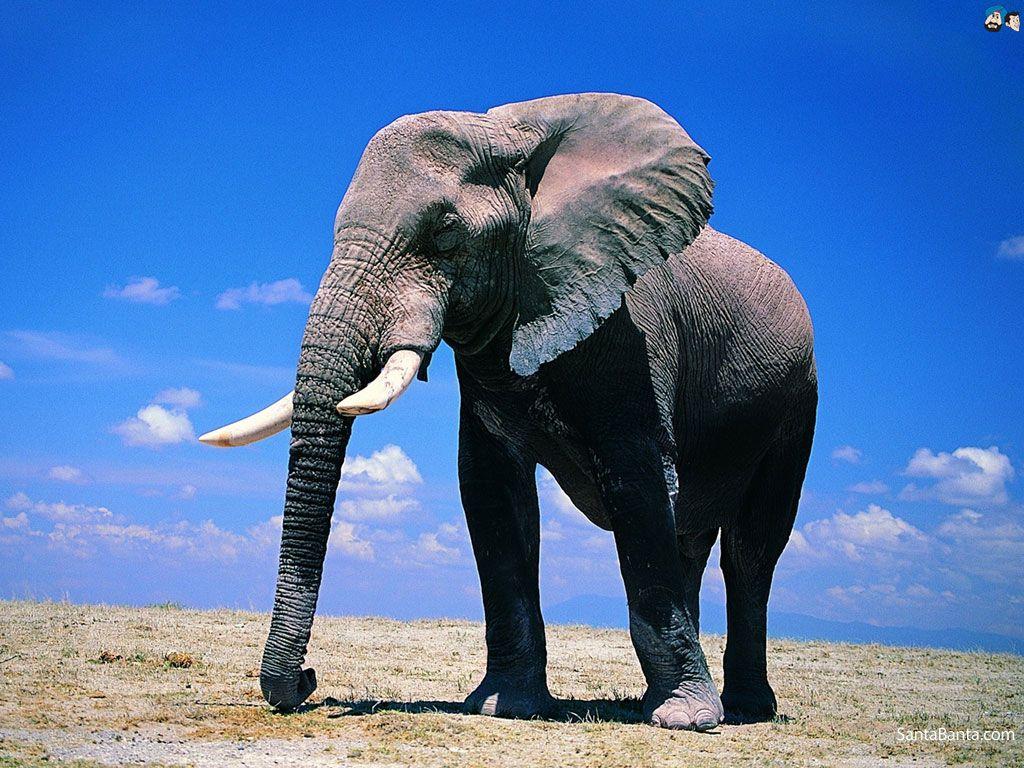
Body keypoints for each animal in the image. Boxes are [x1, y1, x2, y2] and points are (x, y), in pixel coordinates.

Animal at [200, 93, 817, 731]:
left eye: (446, 234)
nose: (306, 679)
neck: (512, 133)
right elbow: (493, 493)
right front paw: (506, 707)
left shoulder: (635, 338)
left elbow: (639, 485)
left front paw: (685, 722)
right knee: (693, 539)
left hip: (798, 400)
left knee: (752, 549)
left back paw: (741, 708)